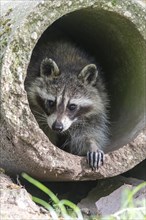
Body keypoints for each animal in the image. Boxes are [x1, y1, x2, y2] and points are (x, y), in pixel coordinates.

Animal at [25, 38, 109, 168]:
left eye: (72, 106)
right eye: (51, 103)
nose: (57, 127)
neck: (68, 67)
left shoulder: (97, 107)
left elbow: (88, 133)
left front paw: (92, 145)